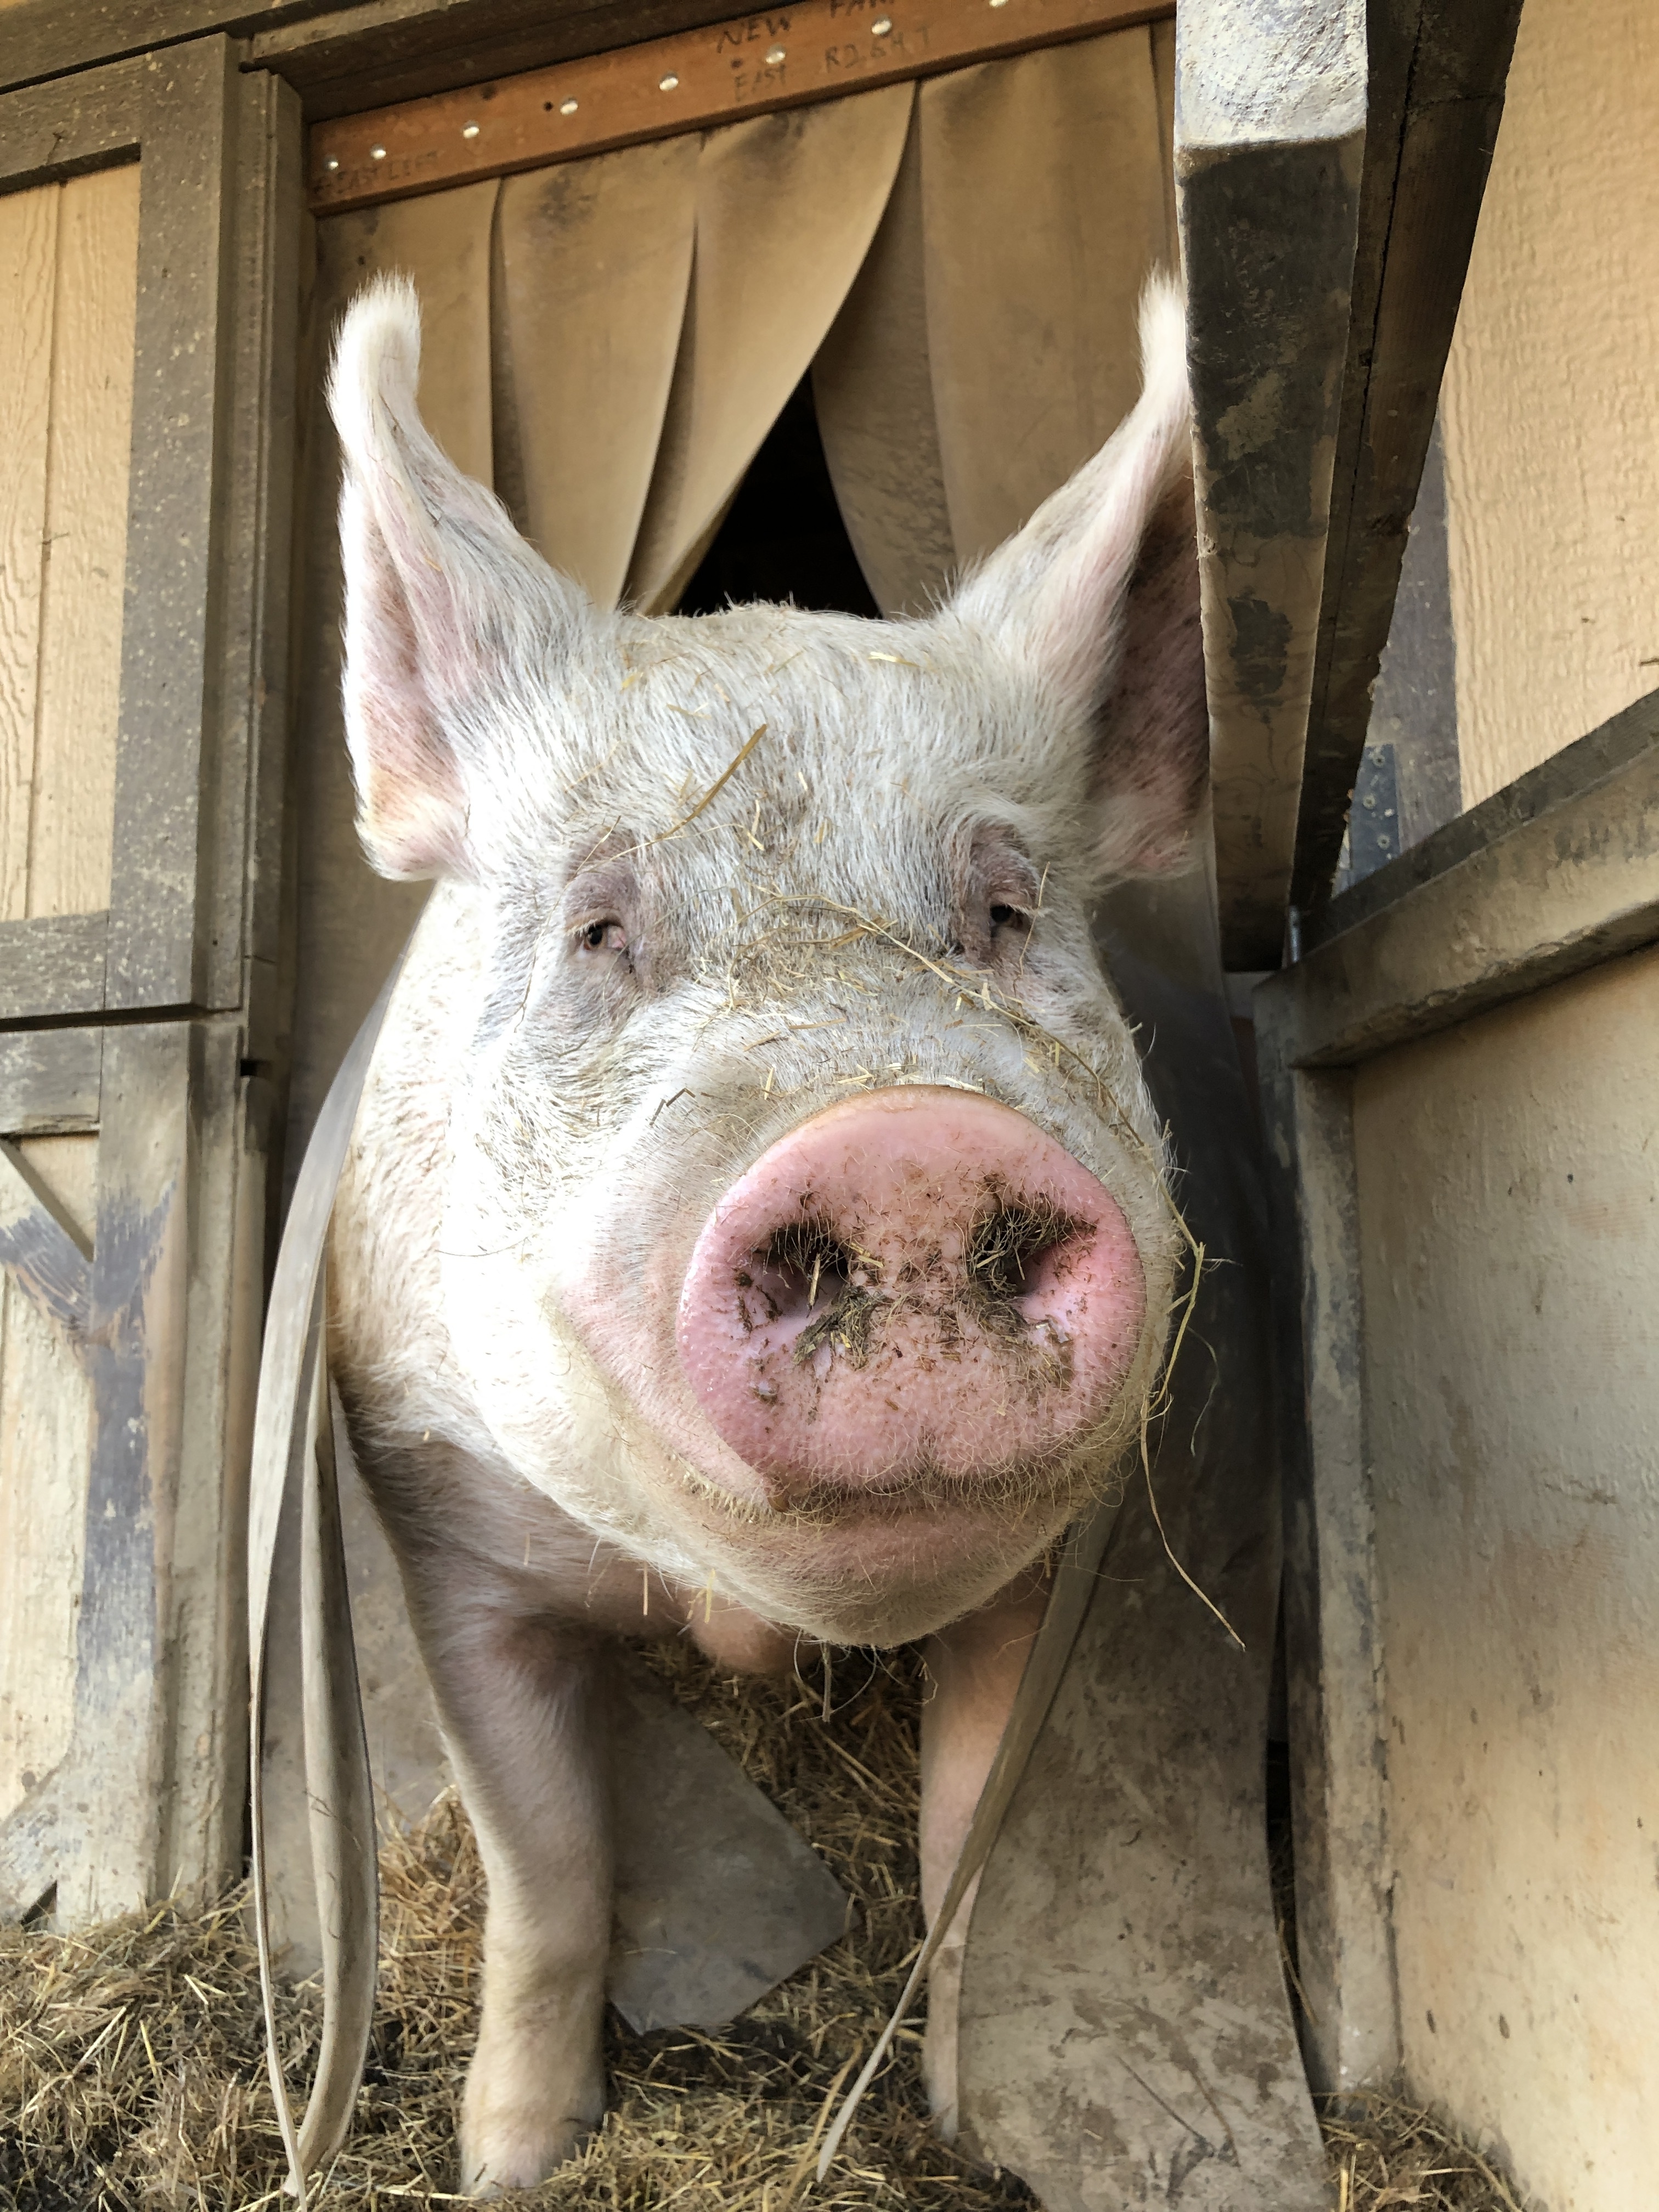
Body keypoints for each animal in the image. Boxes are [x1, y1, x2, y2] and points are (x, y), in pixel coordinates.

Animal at [325, 268, 1208, 2195]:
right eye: (598, 927)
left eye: (1007, 912)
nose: (906, 1145)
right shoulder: (441, 1524)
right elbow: (545, 1875)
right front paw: (509, 2167)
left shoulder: (1035, 1589)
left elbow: (967, 1876)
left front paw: (965, 2127)